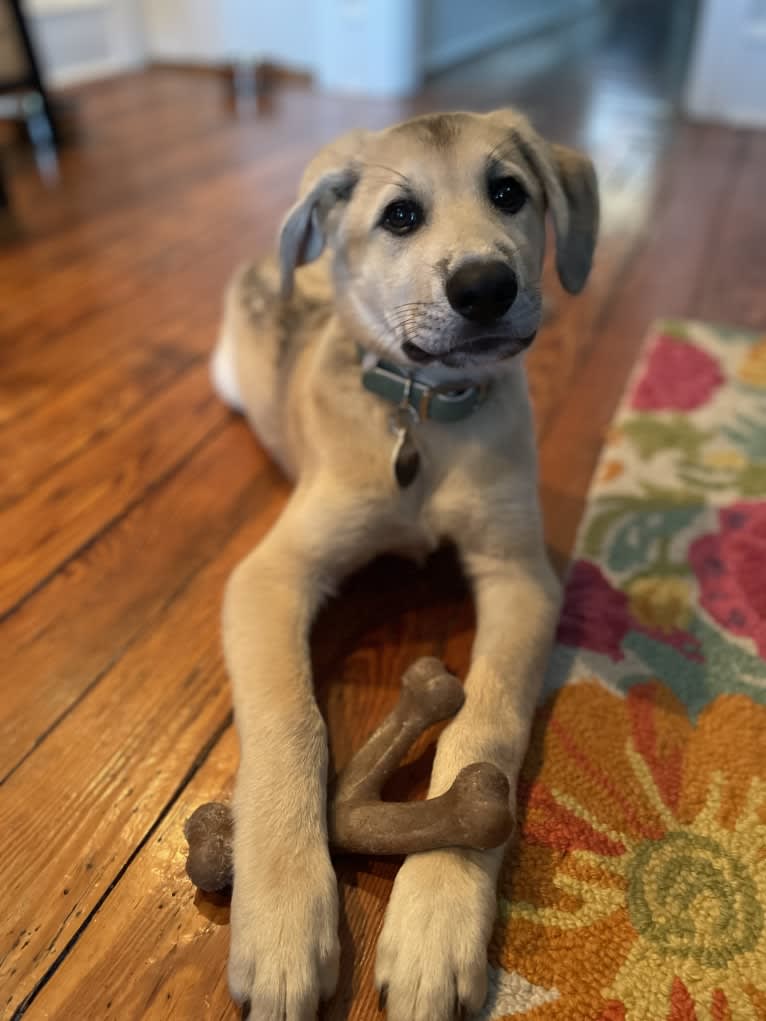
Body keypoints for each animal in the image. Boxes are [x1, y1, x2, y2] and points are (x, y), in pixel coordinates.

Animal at [210, 109, 600, 1021]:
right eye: (400, 216)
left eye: (509, 192)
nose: (485, 286)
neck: (427, 414)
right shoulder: (269, 577)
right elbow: (291, 722)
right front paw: (282, 918)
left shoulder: (521, 575)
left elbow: (486, 718)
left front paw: (437, 918)